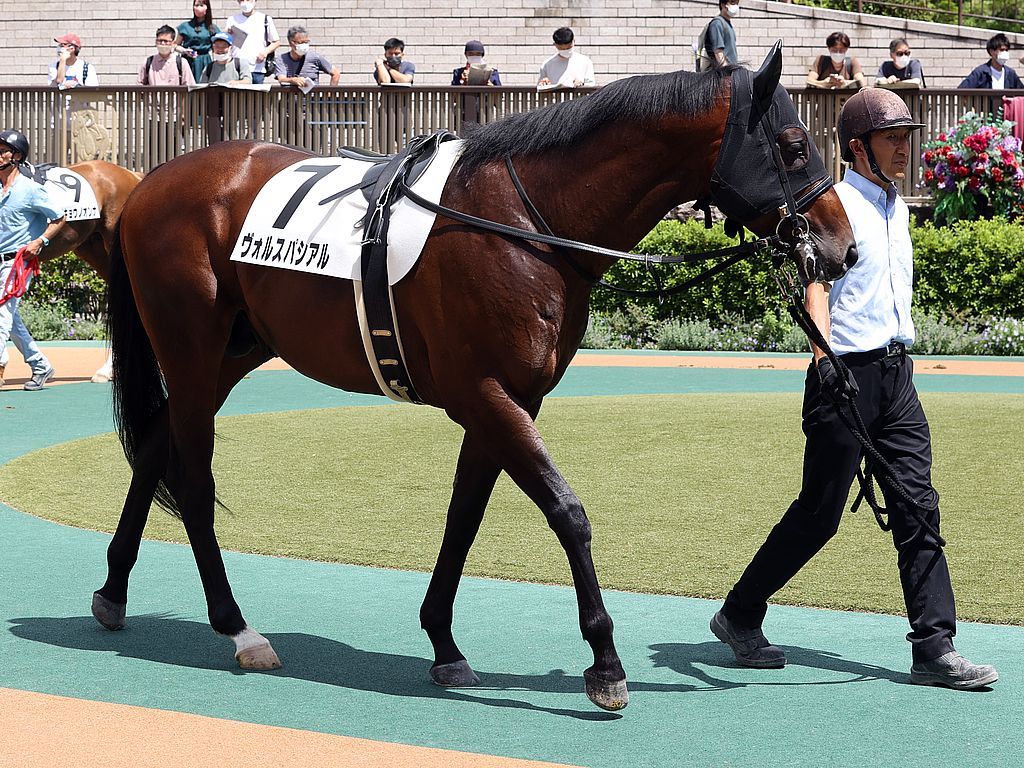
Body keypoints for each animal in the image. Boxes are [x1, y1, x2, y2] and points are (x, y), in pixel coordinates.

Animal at [96, 46, 857, 711]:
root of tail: (148, 184)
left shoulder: (511, 400)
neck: (526, 221)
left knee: (157, 439)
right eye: (794, 146)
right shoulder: (486, 395)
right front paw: (605, 663)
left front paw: (444, 643)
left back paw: (113, 590)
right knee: (193, 478)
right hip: (191, 348)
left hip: (237, 349)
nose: (843, 248)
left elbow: (465, 516)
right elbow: (567, 511)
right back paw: (237, 628)